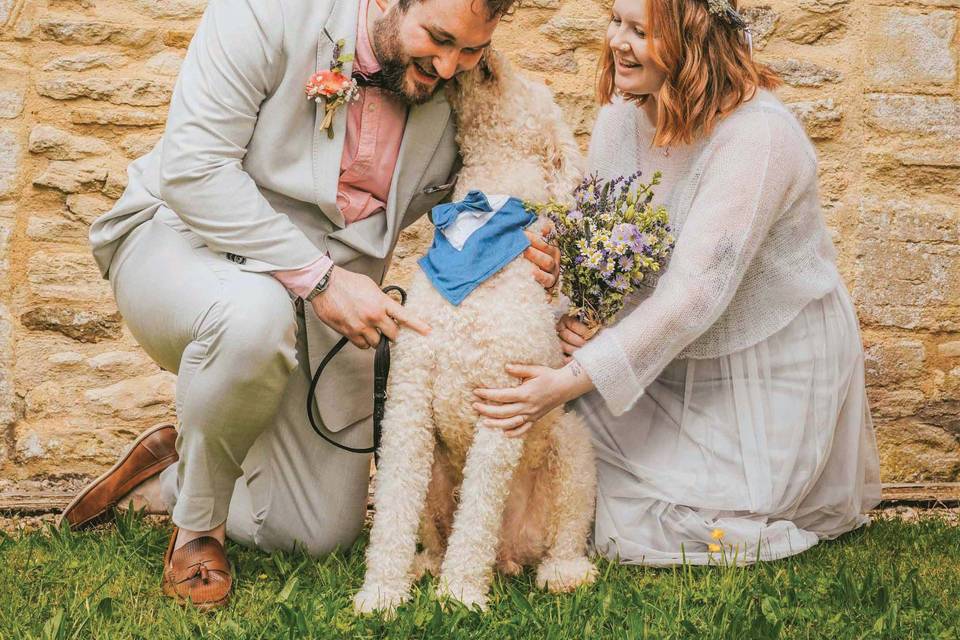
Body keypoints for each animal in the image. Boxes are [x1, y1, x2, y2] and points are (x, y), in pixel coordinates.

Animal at [348, 52, 596, 612]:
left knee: (563, 535)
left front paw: (460, 594)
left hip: (571, 450)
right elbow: (392, 506)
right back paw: (425, 566)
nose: (489, 55)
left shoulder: (502, 406)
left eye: (533, 85)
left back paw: (561, 573)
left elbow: (478, 512)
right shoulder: (407, 404)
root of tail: (512, 555)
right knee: (434, 530)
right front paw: (382, 592)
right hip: (437, 478)